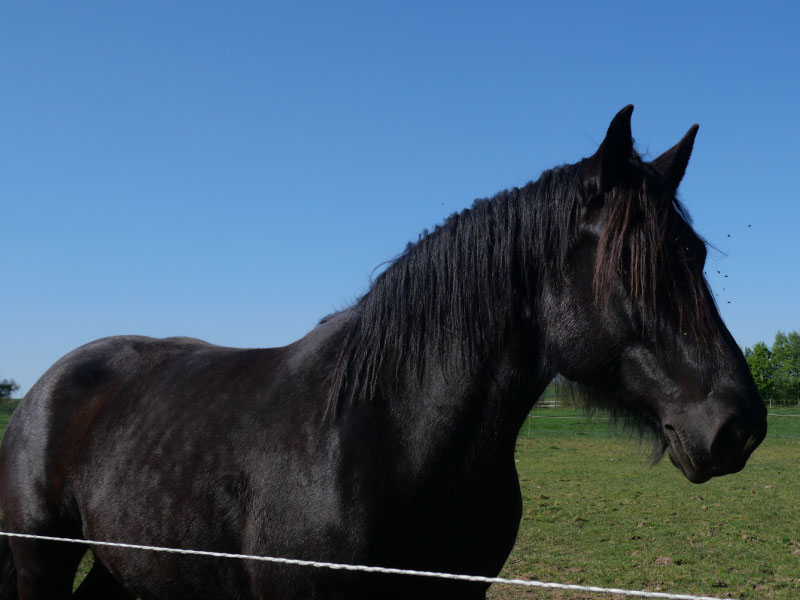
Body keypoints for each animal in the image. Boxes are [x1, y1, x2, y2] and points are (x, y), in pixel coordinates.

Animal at [0, 106, 767, 599]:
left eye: (697, 256)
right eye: (631, 269)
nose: (739, 426)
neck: (388, 437)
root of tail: (45, 386)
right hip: (39, 561)